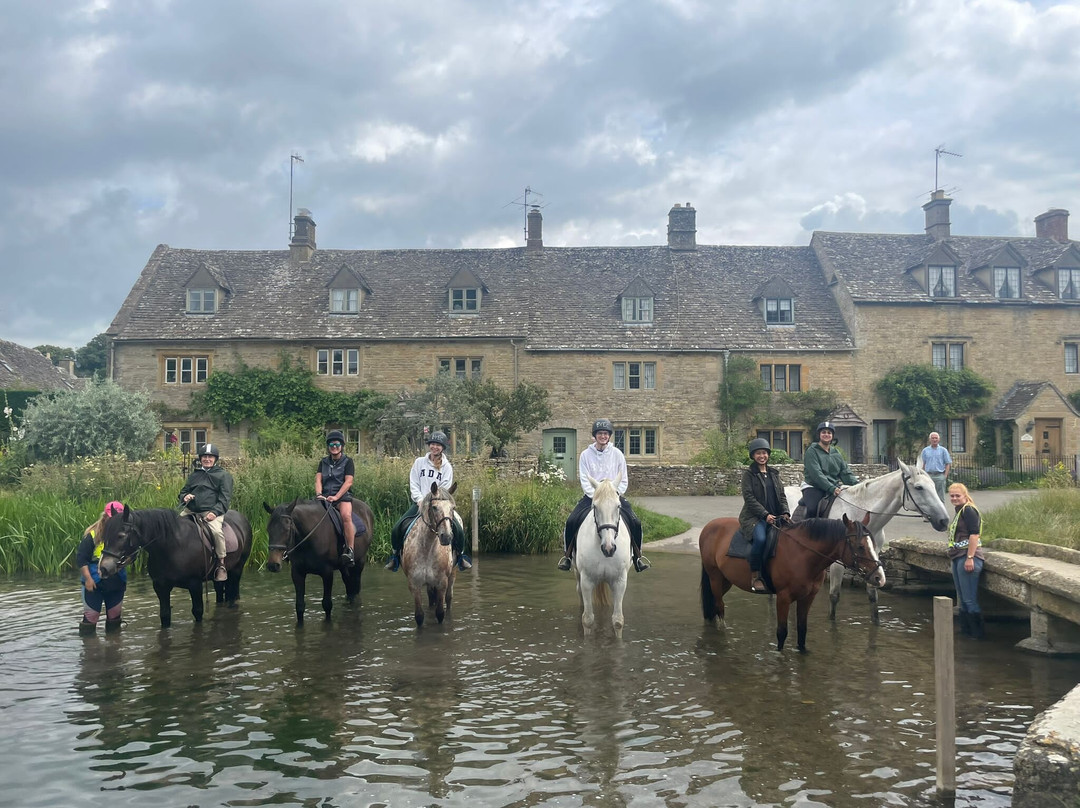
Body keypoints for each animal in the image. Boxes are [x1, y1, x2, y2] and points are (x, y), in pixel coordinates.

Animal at [574, 473, 630, 639]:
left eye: (618, 506)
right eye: (595, 507)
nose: (609, 548)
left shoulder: (619, 582)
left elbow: (618, 620)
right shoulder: (586, 581)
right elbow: (587, 620)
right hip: (577, 575)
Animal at [699, 514, 885, 652]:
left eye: (874, 544)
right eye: (860, 547)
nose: (879, 578)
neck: (802, 554)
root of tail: (709, 526)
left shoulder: (808, 597)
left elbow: (802, 629)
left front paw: (802, 651)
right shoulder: (783, 597)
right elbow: (782, 631)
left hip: (726, 581)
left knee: (713, 606)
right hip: (715, 578)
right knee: (720, 607)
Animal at [786, 458, 946, 622]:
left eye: (934, 485)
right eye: (919, 487)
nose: (944, 520)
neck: (858, 513)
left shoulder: (873, 560)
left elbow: (873, 596)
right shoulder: (837, 563)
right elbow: (834, 596)